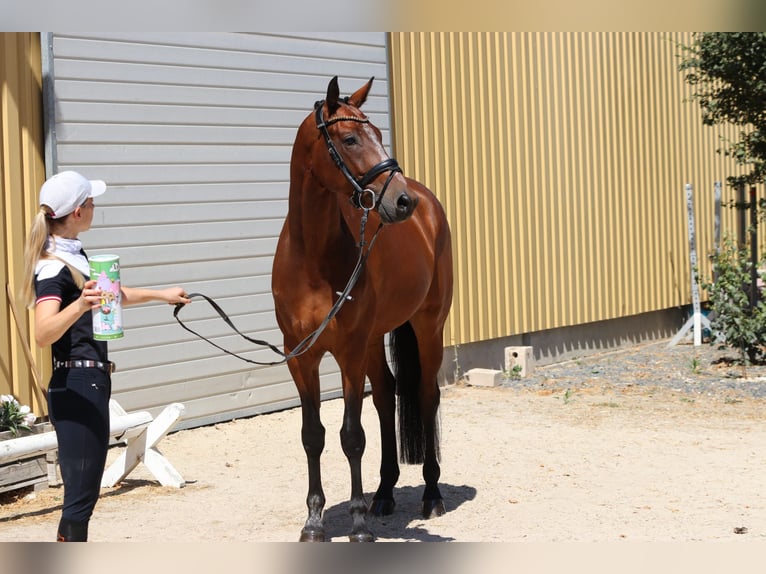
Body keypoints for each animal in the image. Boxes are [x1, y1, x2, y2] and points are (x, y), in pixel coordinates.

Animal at [271, 76, 453, 542]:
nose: (402, 202)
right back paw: (385, 493)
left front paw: (356, 523)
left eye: (379, 135)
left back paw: (431, 494)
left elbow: (351, 436)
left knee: (426, 395)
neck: (312, 259)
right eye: (350, 138)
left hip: (428, 326)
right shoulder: (301, 356)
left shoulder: (348, 352)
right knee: (387, 396)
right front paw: (314, 521)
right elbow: (313, 435)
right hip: (373, 339)